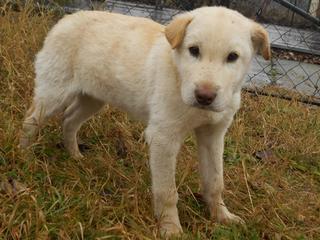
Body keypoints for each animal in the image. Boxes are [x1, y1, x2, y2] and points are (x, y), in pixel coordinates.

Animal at [20, 6, 270, 237]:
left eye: (232, 57)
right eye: (194, 50)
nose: (204, 96)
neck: (178, 74)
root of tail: (66, 19)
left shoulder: (214, 135)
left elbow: (215, 182)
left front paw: (222, 216)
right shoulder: (163, 138)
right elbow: (166, 191)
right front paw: (171, 229)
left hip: (92, 98)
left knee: (69, 120)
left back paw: (74, 155)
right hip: (53, 93)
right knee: (31, 120)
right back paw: (24, 155)